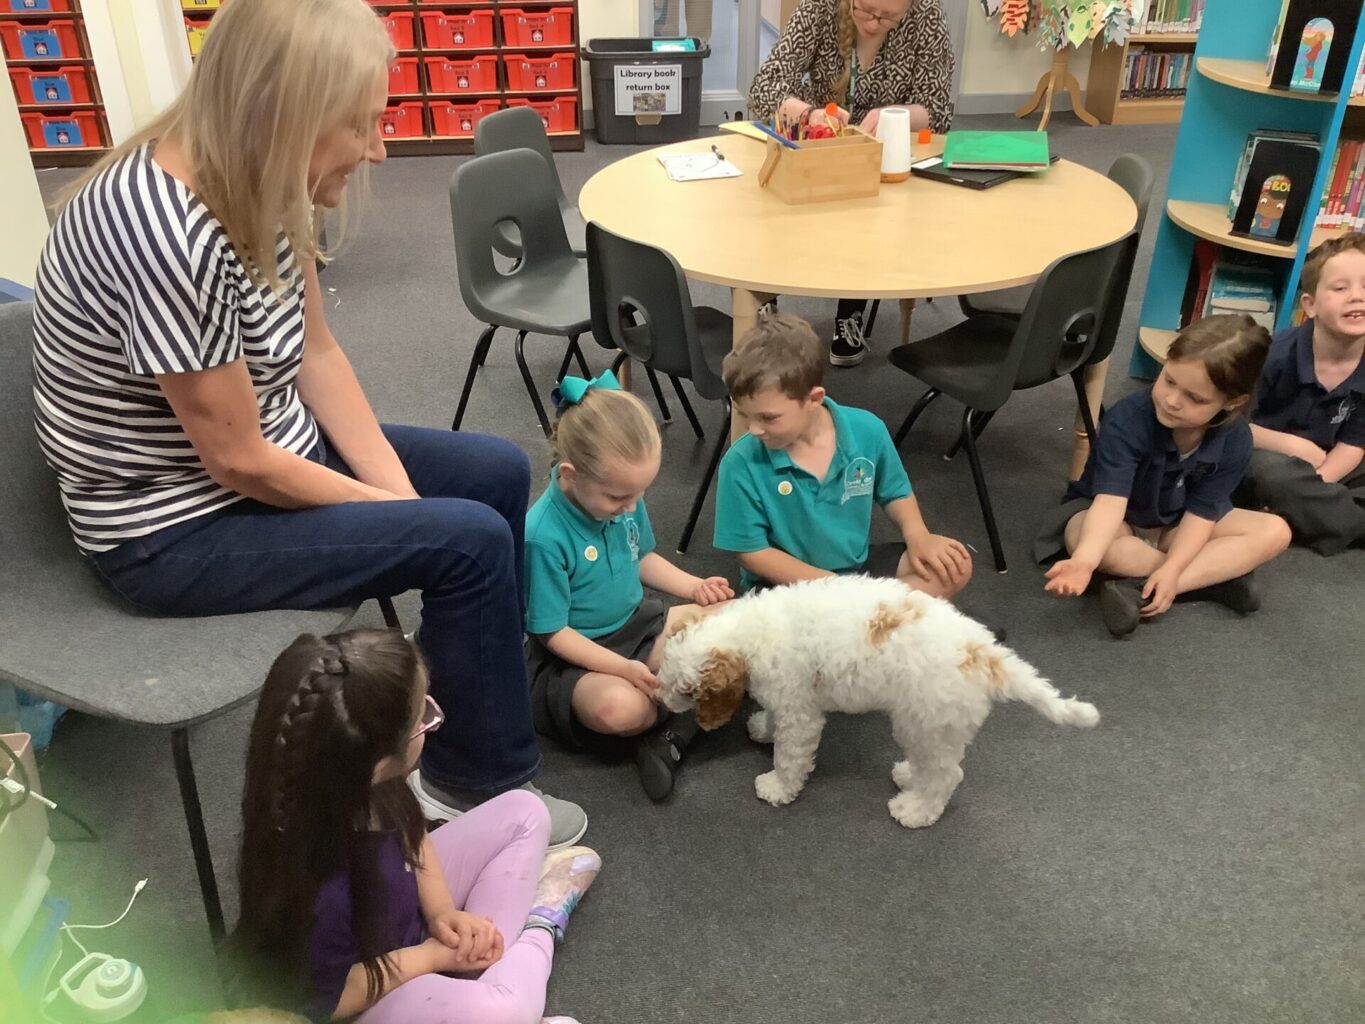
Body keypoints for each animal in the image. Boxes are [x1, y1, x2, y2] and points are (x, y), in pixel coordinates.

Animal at [657, 575, 1099, 827]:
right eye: (664, 670)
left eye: (687, 691)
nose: (658, 698)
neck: (751, 632)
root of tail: (984, 653)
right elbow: (773, 721)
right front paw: (762, 727)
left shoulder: (800, 711)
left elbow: (790, 755)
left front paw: (778, 787)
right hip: (932, 727)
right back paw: (908, 776)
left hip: (924, 721)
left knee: (947, 776)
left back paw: (916, 811)